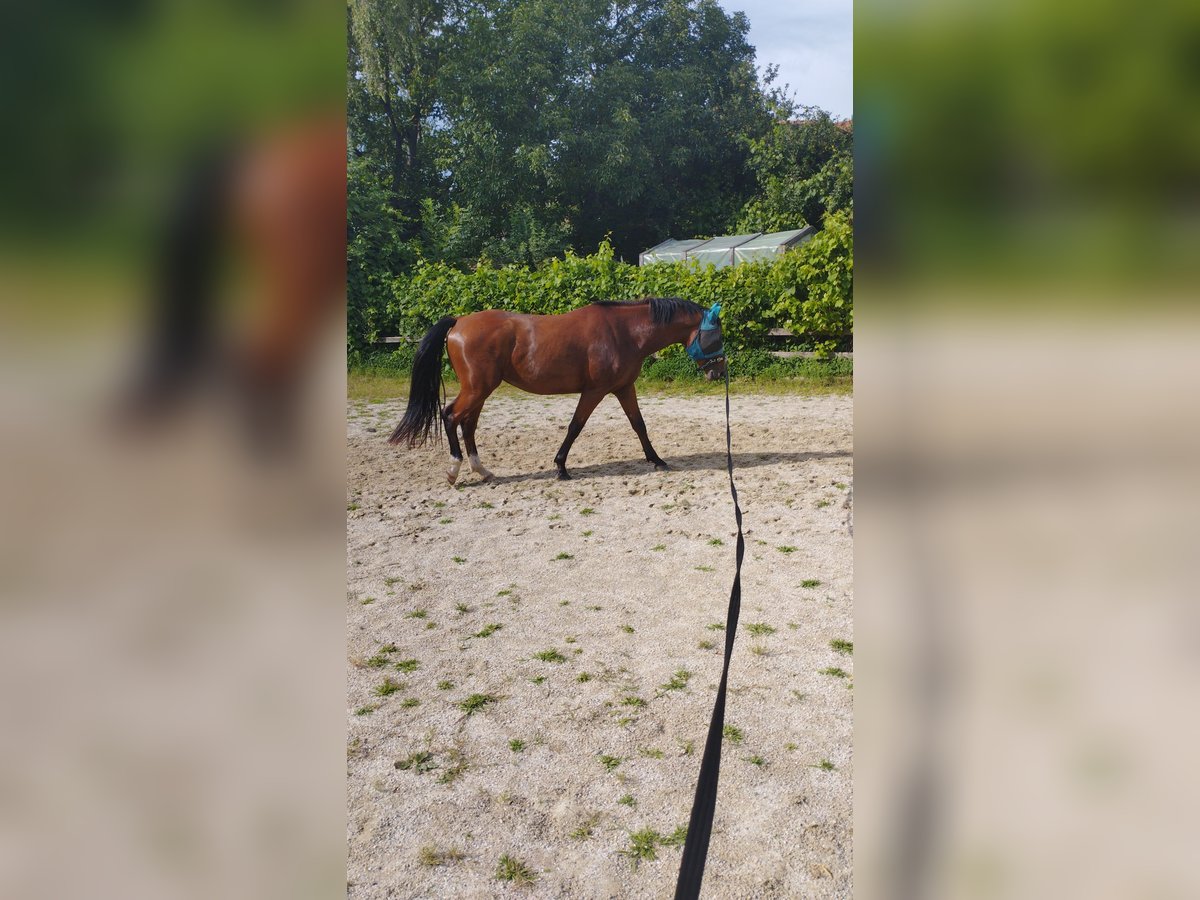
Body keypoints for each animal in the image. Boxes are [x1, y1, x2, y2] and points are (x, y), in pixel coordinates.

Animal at [388, 297, 724, 482]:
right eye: (716, 336)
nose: (718, 372)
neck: (624, 332)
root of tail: (459, 323)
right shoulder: (595, 390)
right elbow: (576, 426)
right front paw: (561, 467)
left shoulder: (624, 387)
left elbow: (638, 425)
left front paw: (657, 460)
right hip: (476, 389)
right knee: (450, 416)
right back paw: (454, 470)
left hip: (480, 391)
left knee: (467, 424)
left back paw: (481, 471)